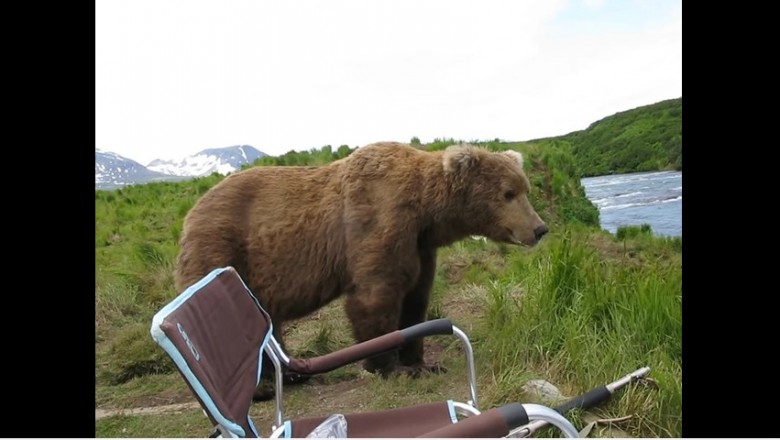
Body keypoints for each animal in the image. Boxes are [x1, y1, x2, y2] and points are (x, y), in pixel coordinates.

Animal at [174, 140, 544, 384]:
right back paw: (265, 385)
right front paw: (389, 366)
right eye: (508, 193)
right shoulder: (377, 221)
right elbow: (375, 296)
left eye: (524, 189)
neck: (426, 212)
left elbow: (416, 299)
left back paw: (291, 374)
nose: (539, 228)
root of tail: (191, 212)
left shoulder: (421, 246)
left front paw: (422, 362)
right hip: (223, 249)